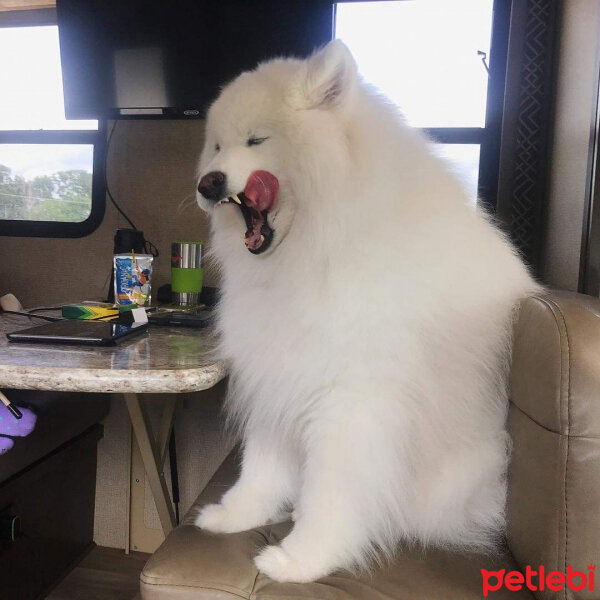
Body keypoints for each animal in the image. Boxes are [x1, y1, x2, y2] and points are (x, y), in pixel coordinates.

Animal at [196, 41, 540, 580]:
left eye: (256, 140)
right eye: (216, 146)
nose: (208, 185)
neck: (319, 247)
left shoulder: (355, 400)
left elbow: (334, 489)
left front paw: (302, 558)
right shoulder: (279, 370)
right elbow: (261, 464)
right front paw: (239, 515)